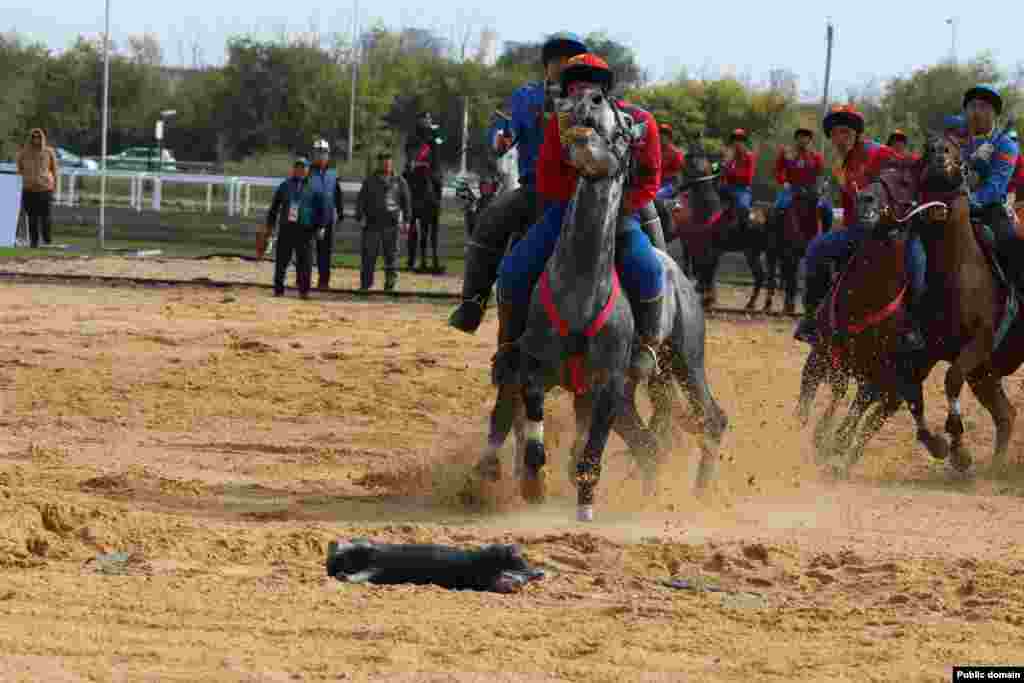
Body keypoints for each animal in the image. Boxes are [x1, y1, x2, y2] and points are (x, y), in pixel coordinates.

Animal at [473, 88, 729, 520]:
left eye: (625, 128)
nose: (590, 99)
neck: (581, 291)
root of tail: (678, 275)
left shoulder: (608, 384)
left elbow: (590, 451)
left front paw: (584, 502)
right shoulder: (536, 370)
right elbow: (533, 429)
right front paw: (532, 484)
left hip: (685, 361)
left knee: (709, 421)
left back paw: (697, 495)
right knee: (650, 445)